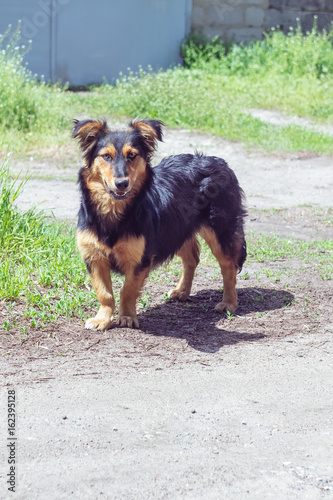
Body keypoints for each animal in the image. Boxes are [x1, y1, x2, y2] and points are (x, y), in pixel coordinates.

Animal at [71, 118, 245, 332]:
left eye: (132, 155)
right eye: (106, 156)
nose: (122, 183)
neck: (113, 209)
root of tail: (219, 161)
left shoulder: (141, 258)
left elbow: (127, 290)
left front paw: (127, 317)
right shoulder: (94, 257)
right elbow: (104, 293)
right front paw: (102, 319)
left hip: (220, 230)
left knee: (228, 266)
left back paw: (229, 303)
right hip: (177, 230)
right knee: (192, 258)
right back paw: (182, 291)